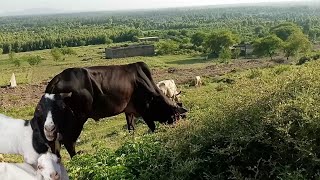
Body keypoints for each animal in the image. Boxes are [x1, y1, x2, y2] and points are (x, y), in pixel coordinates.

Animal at [33, 62, 186, 158]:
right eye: (176, 116)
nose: (178, 129)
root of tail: (56, 81)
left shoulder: (129, 111)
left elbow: (131, 128)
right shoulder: (144, 110)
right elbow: (152, 127)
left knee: (55, 144)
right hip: (76, 119)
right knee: (68, 141)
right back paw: (77, 158)